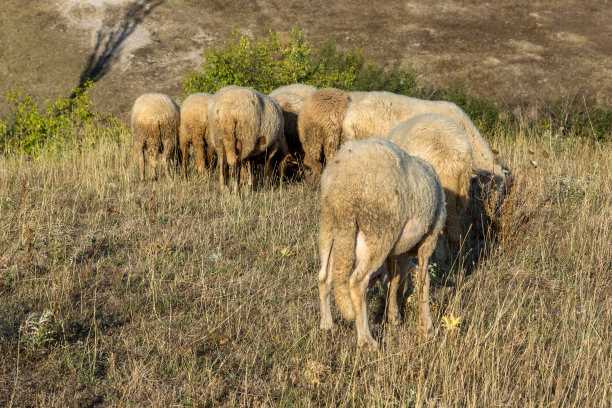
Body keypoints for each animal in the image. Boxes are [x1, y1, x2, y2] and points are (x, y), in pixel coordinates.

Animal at [320, 139, 444, 350]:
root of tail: (342, 191)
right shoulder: (429, 239)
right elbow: (423, 280)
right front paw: (428, 328)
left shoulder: (397, 251)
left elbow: (395, 278)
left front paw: (393, 314)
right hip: (379, 230)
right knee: (357, 282)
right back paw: (367, 341)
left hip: (330, 227)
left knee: (324, 276)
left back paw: (327, 324)